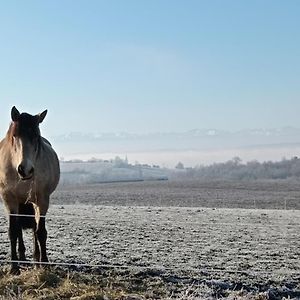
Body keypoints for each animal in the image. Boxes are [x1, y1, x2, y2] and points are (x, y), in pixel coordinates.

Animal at [0, 106, 59, 274]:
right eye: (15, 136)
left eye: (36, 137)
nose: (25, 169)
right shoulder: (9, 200)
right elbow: (13, 231)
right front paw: (14, 267)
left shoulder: (42, 200)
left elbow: (40, 232)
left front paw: (44, 262)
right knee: (19, 227)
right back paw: (22, 256)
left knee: (34, 227)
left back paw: (36, 258)